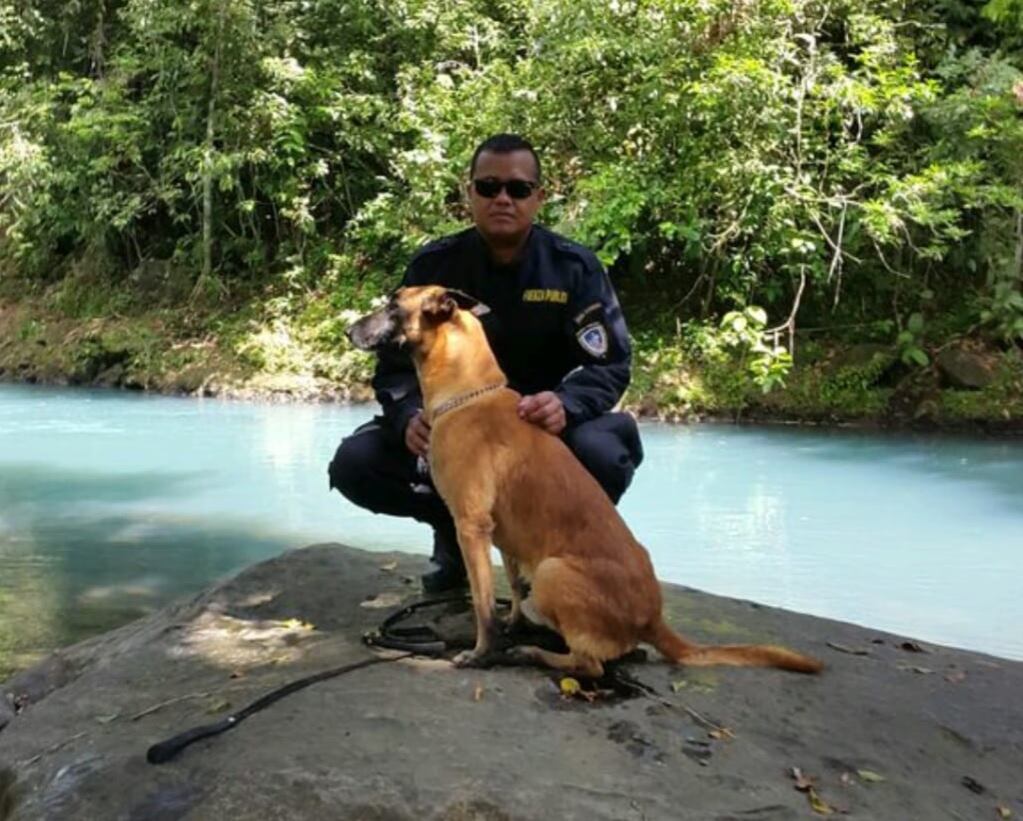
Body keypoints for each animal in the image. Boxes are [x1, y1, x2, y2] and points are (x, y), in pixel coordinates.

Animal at [348, 286, 823, 677]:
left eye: (393, 305)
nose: (349, 328)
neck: (468, 392)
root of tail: (652, 618)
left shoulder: (471, 526)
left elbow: (483, 605)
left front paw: (483, 651)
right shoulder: (501, 536)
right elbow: (511, 588)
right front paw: (512, 625)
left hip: (552, 572)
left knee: (590, 664)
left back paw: (534, 654)